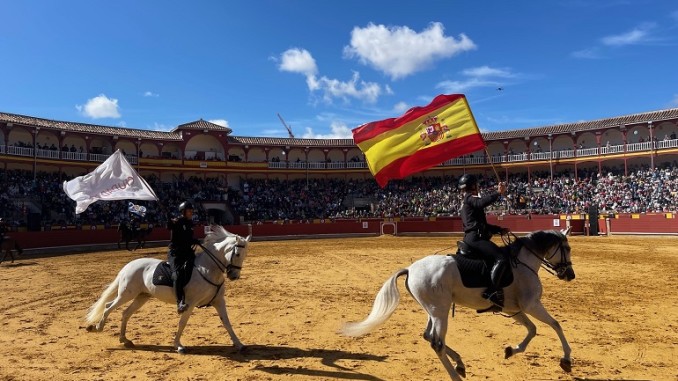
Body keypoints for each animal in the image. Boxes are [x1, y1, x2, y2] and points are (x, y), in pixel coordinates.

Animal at [85, 226, 252, 354]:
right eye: (237, 253)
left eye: (245, 255)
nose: (234, 276)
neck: (208, 269)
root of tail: (128, 266)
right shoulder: (189, 303)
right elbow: (182, 323)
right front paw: (178, 346)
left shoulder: (218, 301)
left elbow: (227, 322)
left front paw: (239, 344)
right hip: (126, 294)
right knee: (108, 307)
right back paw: (98, 327)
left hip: (142, 296)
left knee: (125, 313)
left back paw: (125, 340)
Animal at [342, 227, 576, 378]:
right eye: (568, 248)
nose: (570, 275)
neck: (523, 263)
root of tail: (410, 268)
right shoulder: (531, 304)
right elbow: (555, 324)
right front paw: (566, 360)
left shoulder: (514, 309)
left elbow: (533, 329)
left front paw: (511, 350)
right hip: (440, 311)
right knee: (437, 343)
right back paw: (456, 372)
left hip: (433, 310)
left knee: (429, 336)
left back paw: (460, 364)